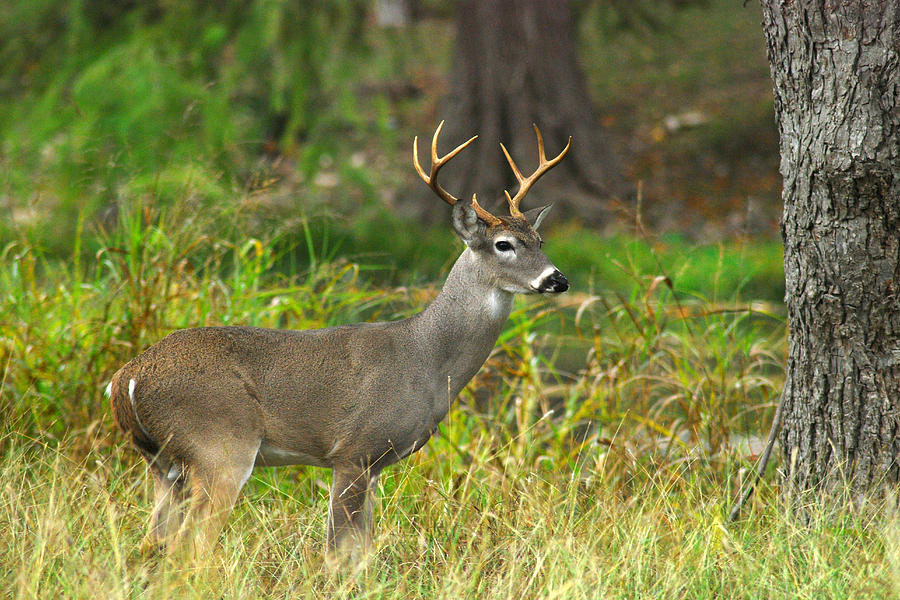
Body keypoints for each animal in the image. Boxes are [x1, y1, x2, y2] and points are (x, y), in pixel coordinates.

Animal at [107, 123, 568, 568]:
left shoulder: (376, 463)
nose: (557, 279)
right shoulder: (354, 450)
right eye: (503, 244)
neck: (428, 358)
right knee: (190, 547)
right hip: (219, 446)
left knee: (149, 545)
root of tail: (126, 379)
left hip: (163, 464)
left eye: (540, 241)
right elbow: (337, 554)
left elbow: (363, 552)